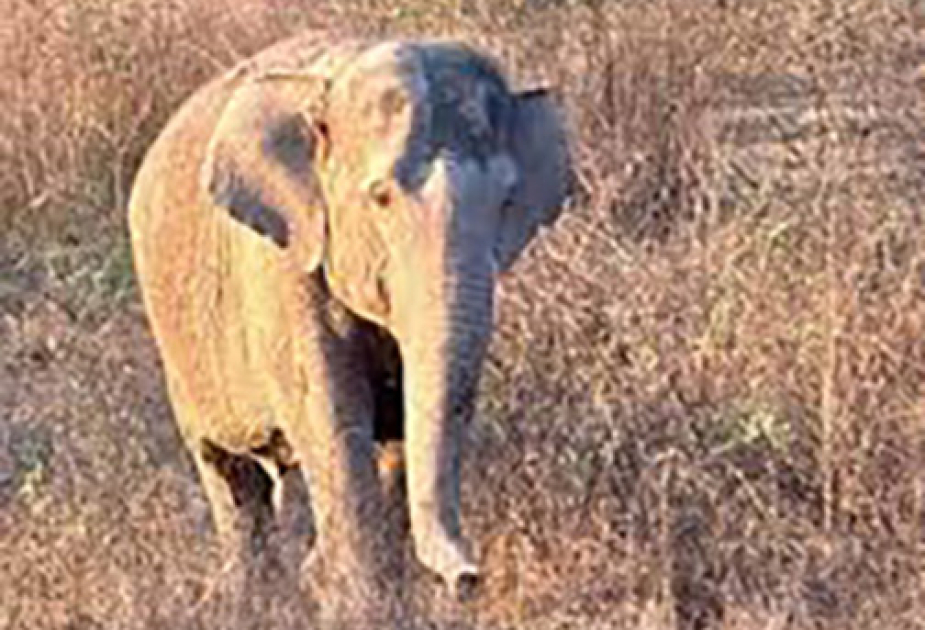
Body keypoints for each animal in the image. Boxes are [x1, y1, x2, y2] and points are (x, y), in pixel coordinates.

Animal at [128, 33, 570, 612]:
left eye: (506, 201)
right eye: (380, 197)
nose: (467, 580)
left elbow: (403, 430)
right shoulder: (284, 271)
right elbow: (333, 419)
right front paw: (356, 602)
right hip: (179, 342)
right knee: (229, 472)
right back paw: (252, 600)